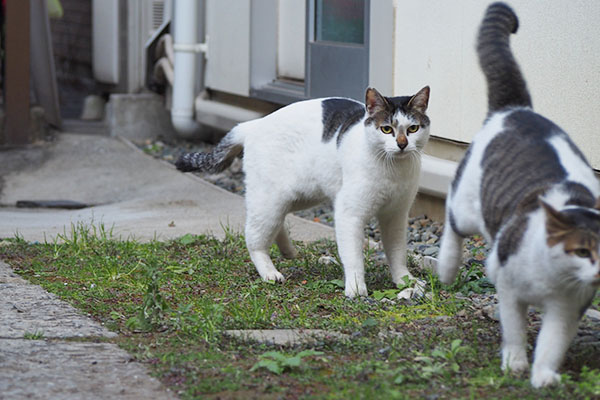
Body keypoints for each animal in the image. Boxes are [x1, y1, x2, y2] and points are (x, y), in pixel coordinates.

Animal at [176, 86, 428, 298]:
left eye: (412, 128)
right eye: (386, 129)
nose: (402, 144)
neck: (393, 171)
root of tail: (253, 124)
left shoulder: (396, 216)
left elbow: (397, 253)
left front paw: (406, 281)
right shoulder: (349, 214)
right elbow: (353, 256)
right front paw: (356, 288)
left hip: (297, 197)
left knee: (275, 224)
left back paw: (288, 251)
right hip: (269, 200)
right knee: (254, 238)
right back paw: (270, 272)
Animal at [436, 0, 600, 388]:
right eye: (582, 251)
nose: (599, 271)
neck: (554, 282)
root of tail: (516, 109)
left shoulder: (567, 309)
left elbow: (552, 344)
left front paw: (544, 376)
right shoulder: (509, 290)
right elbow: (514, 330)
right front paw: (515, 363)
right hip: (466, 207)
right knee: (452, 220)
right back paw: (446, 267)